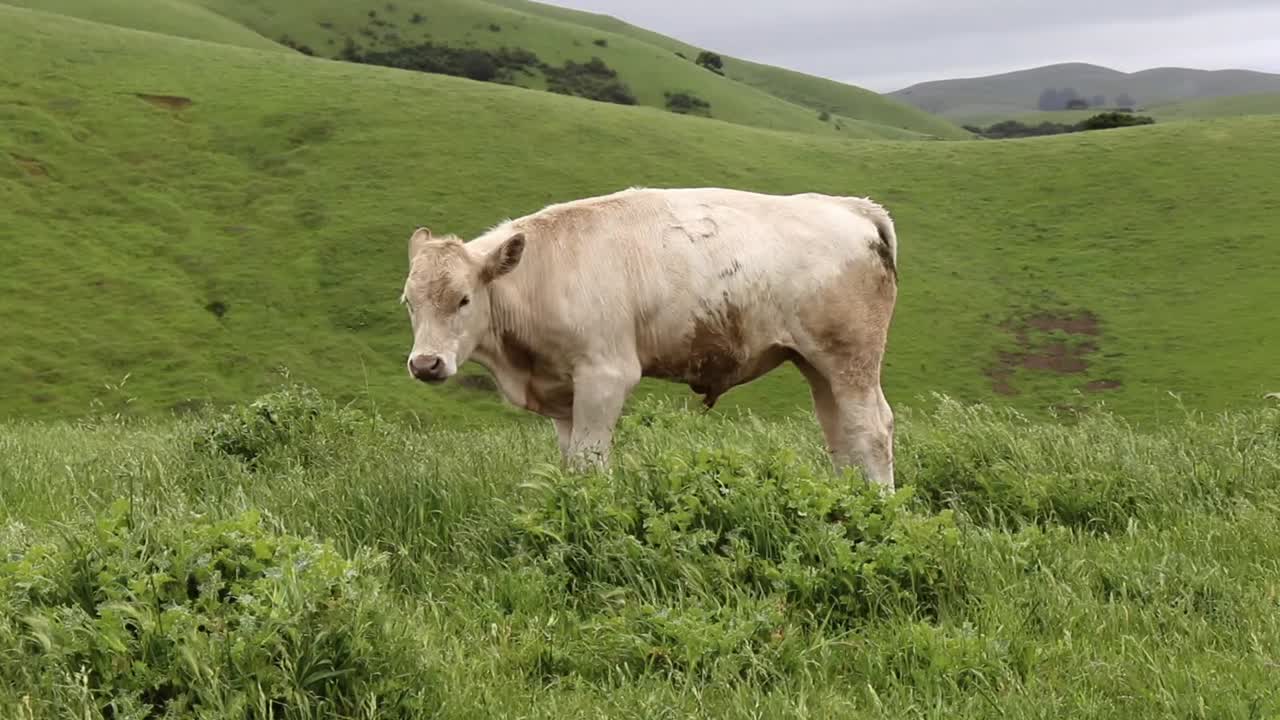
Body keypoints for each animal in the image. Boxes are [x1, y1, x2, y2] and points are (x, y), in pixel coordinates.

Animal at [399, 186, 900, 492]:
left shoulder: (606, 375)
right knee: (839, 431)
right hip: (815, 362)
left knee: (871, 428)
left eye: (464, 300)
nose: (425, 364)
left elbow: (591, 460)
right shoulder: (562, 392)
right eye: (408, 301)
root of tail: (852, 206)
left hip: (850, 357)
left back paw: (880, 504)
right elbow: (572, 460)